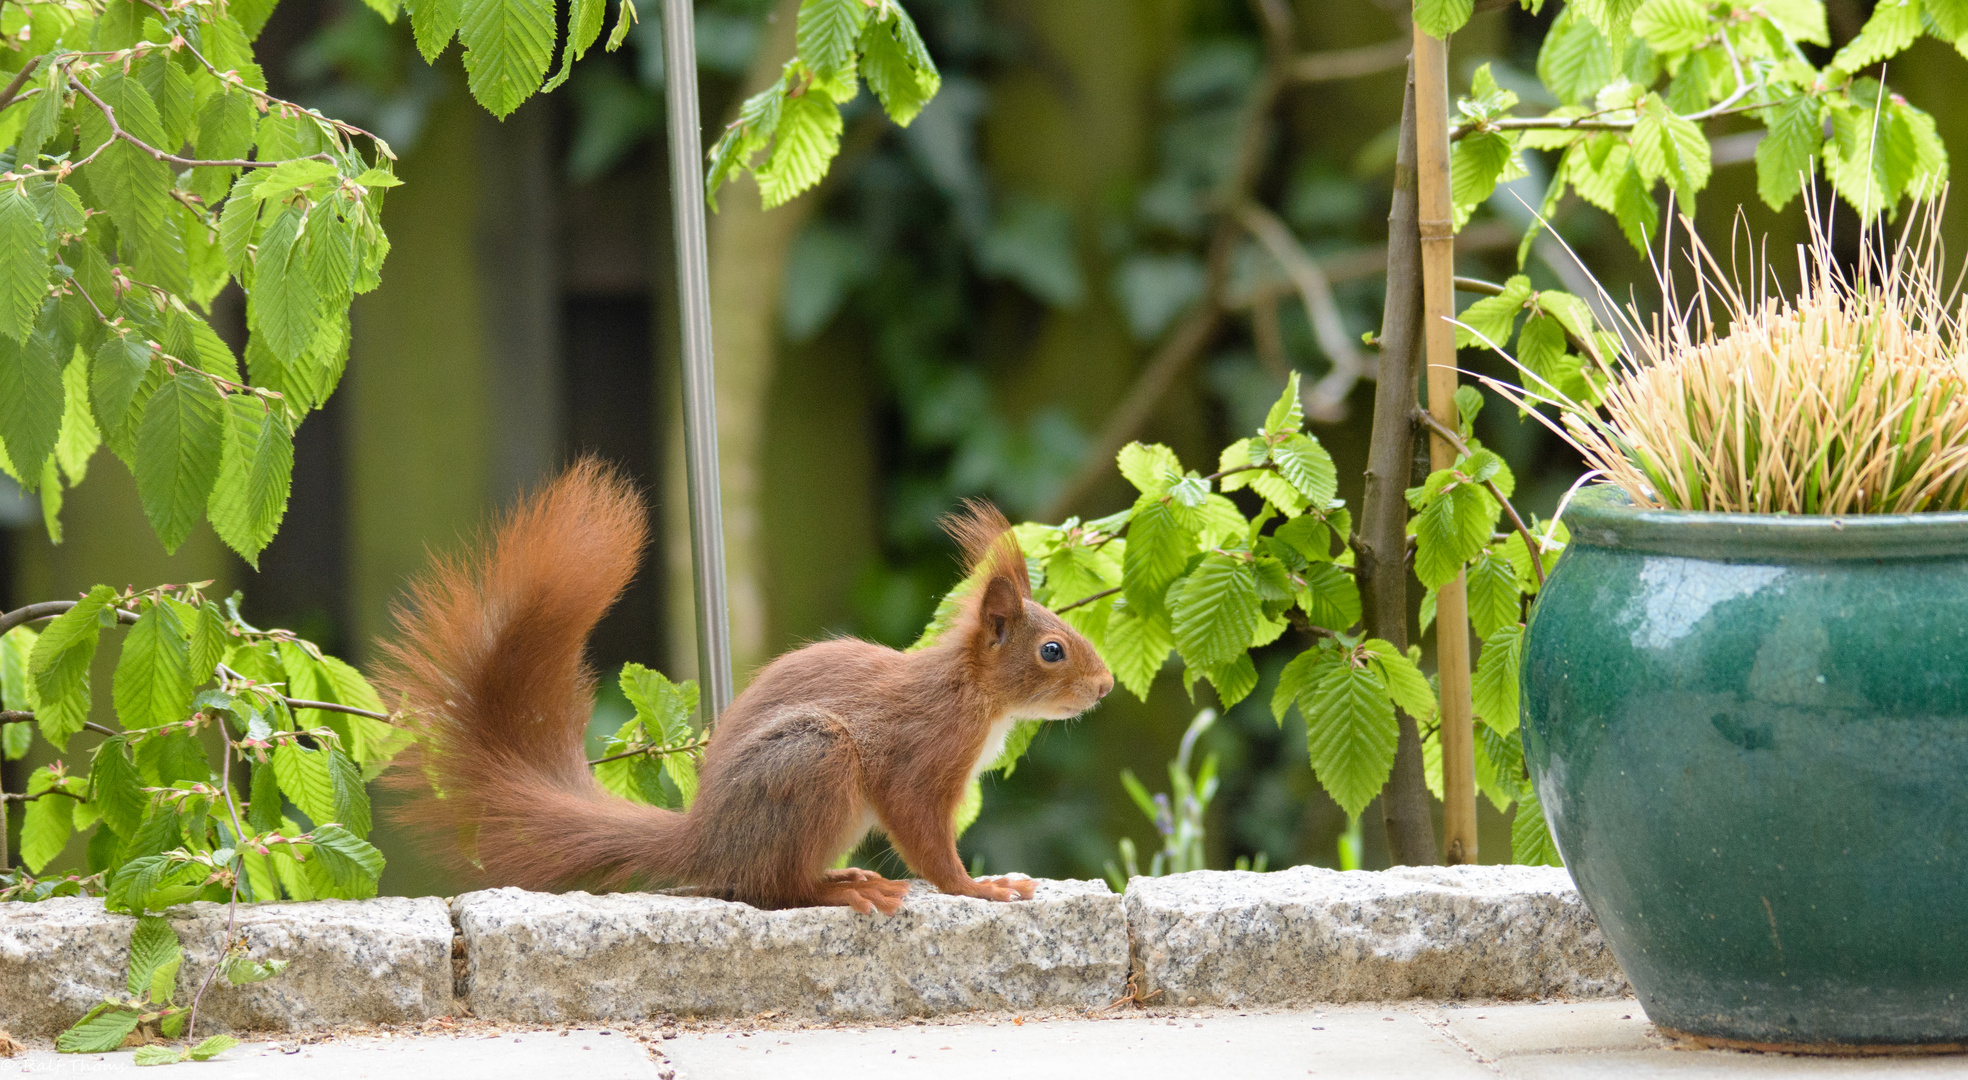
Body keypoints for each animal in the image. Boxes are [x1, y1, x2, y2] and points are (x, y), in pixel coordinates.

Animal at [377, 458, 1117, 912]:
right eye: (1053, 650)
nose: (1106, 686)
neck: (974, 693)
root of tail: (704, 839)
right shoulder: (921, 754)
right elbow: (925, 837)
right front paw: (980, 887)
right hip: (814, 758)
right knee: (771, 889)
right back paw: (837, 891)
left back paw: (841, 875)